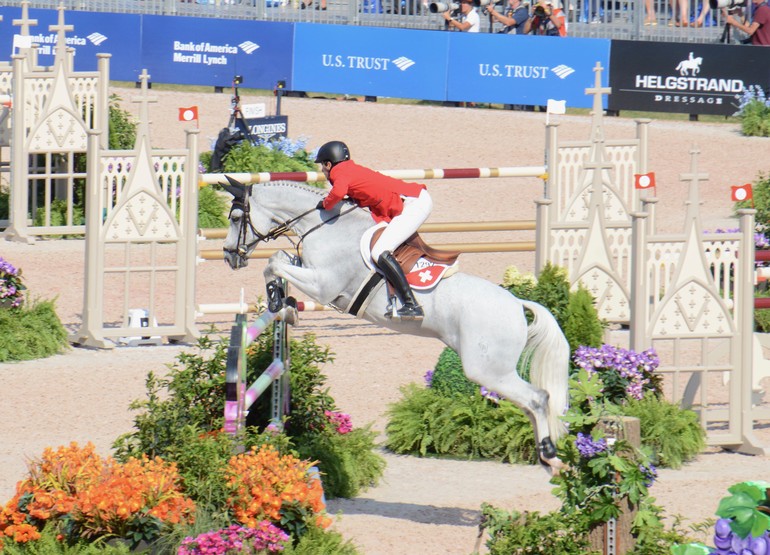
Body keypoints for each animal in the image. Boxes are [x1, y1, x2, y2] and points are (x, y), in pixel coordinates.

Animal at [219, 178, 568, 474]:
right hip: (493, 371)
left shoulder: (323, 285)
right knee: (529, 403)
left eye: (235, 217)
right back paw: (545, 458)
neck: (325, 227)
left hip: (487, 370)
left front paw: (281, 303)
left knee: (538, 398)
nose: (229, 257)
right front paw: (284, 303)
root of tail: (517, 305)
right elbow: (279, 259)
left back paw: (551, 456)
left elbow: (274, 262)